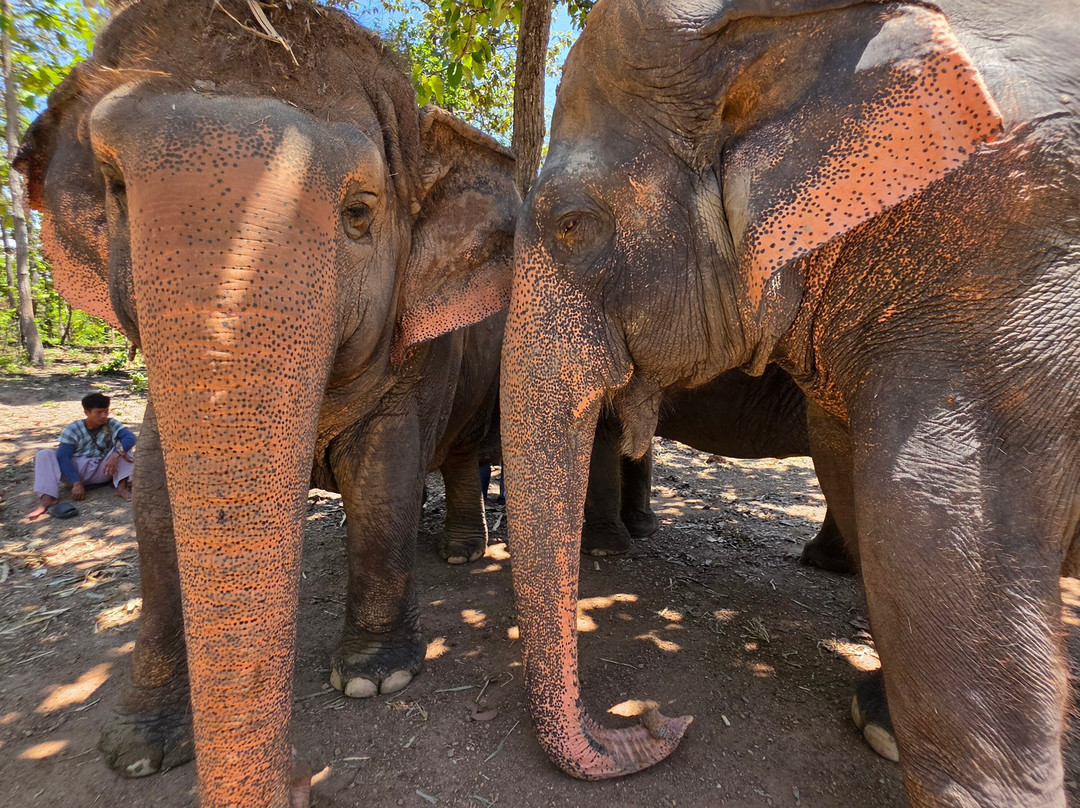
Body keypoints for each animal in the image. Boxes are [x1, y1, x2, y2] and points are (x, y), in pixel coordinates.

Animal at [16, 1, 518, 806]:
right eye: (117, 188)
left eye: (360, 212)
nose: (302, 783)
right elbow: (152, 504)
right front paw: (136, 749)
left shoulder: (413, 361)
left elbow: (384, 479)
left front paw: (375, 680)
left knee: (461, 453)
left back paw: (461, 552)